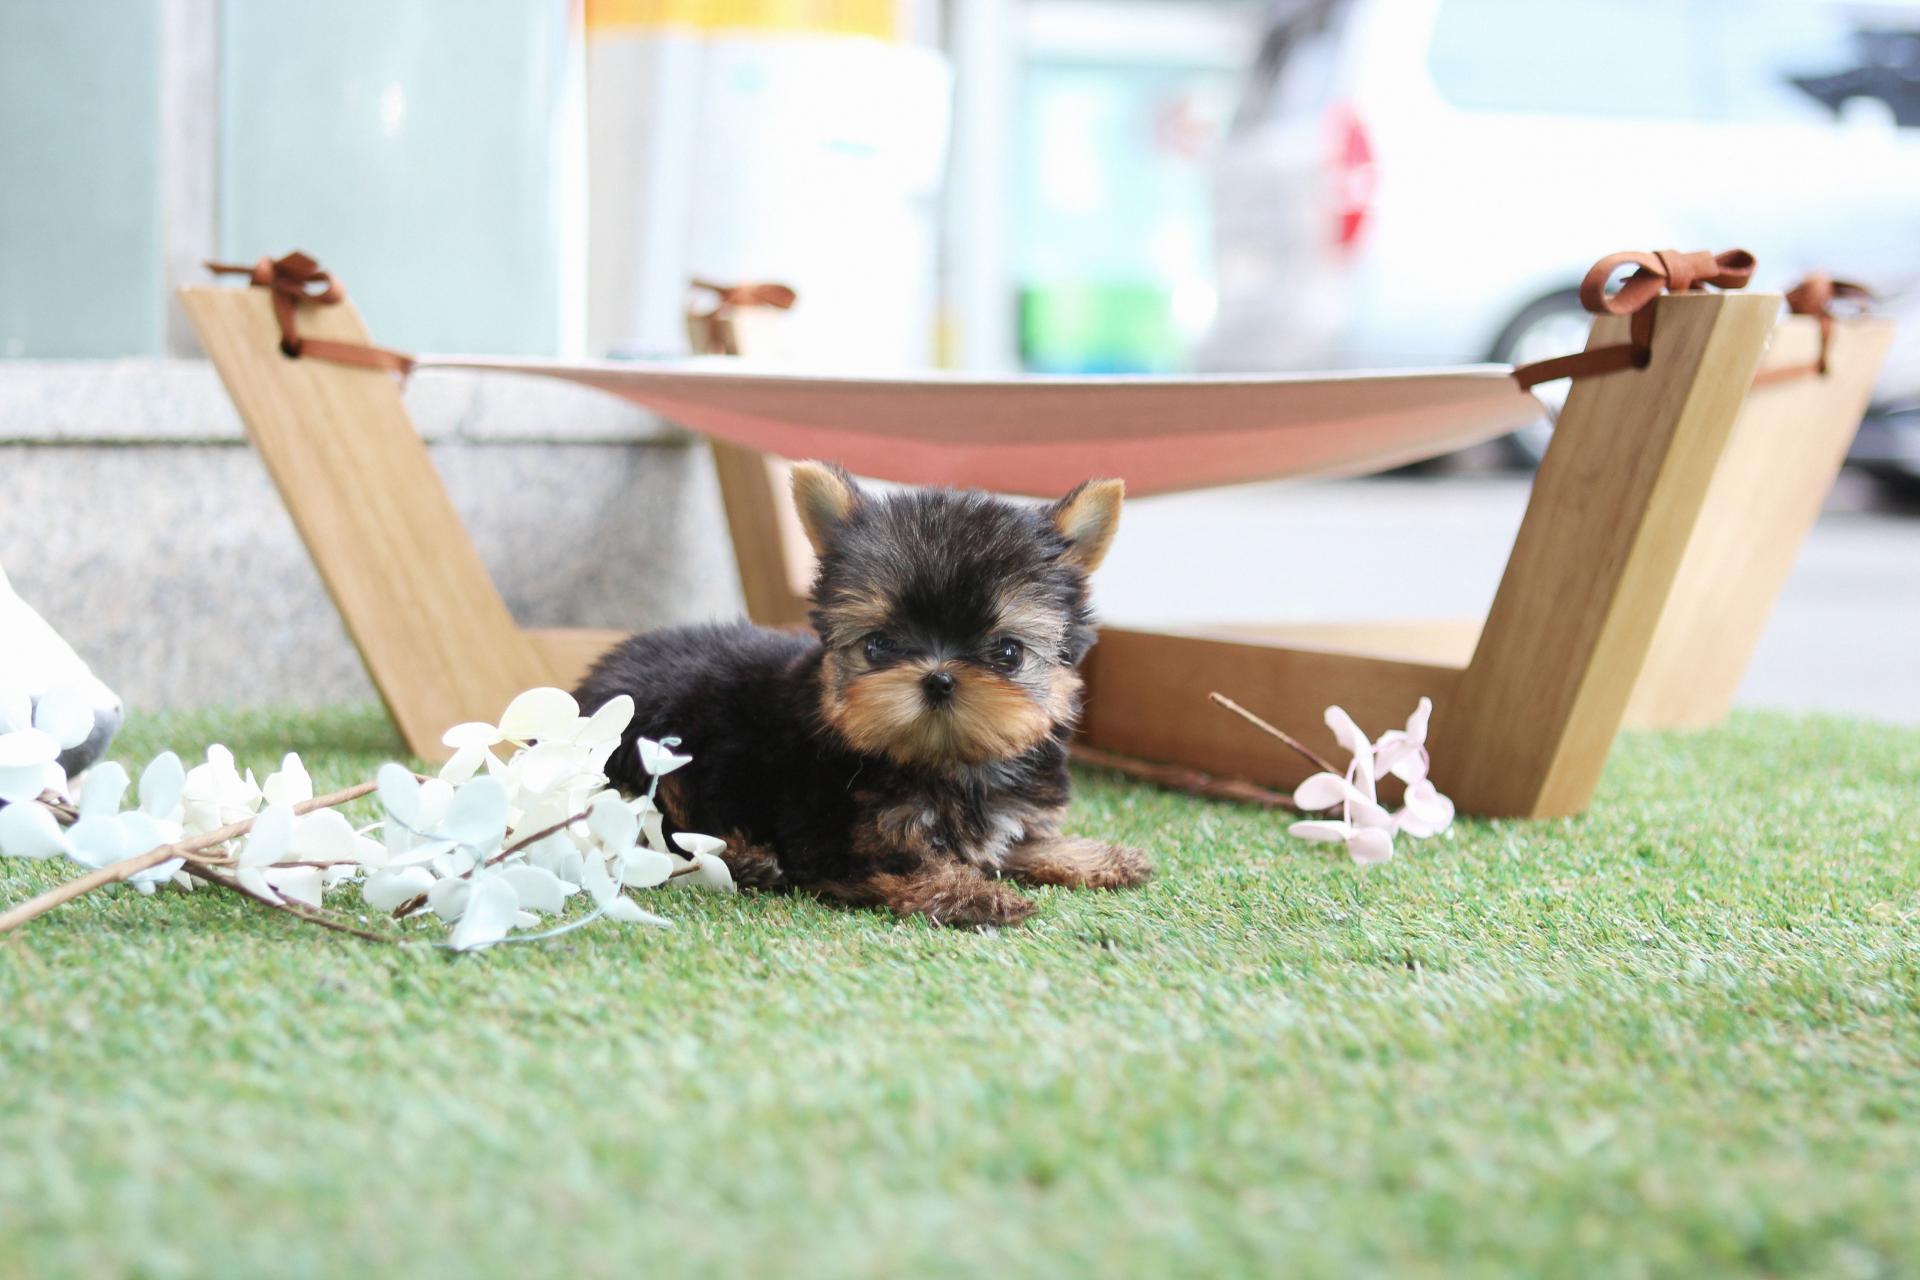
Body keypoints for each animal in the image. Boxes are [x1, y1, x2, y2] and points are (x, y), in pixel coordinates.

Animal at [575, 462, 1151, 928]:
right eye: (879, 645)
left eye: (1007, 653)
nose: (940, 677)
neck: (947, 765)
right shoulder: (832, 831)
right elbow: (906, 865)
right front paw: (972, 895)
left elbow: (1021, 840)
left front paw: (1094, 856)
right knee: (652, 826)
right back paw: (741, 856)